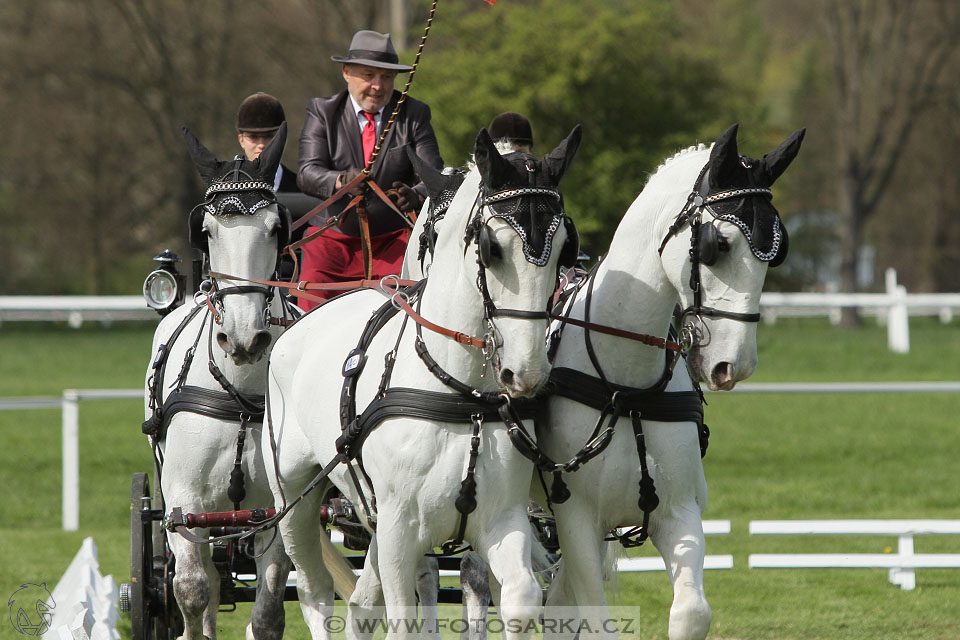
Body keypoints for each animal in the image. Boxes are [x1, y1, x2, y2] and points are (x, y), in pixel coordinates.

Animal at [144, 124, 296, 640]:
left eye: (275, 227)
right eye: (206, 230)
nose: (245, 337)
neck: (242, 394)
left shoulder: (276, 508)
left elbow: (269, 610)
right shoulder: (184, 506)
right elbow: (191, 590)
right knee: (206, 579)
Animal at [258, 126, 580, 640]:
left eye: (566, 244)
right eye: (492, 248)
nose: (526, 371)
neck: (462, 394)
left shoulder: (502, 520)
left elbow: (522, 599)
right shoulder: (399, 532)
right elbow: (404, 619)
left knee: (360, 606)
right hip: (295, 499)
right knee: (314, 592)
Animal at [540, 122, 804, 636]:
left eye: (777, 252)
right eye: (719, 245)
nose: (733, 365)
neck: (627, 389)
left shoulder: (678, 512)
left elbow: (691, 612)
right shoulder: (576, 520)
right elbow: (592, 616)